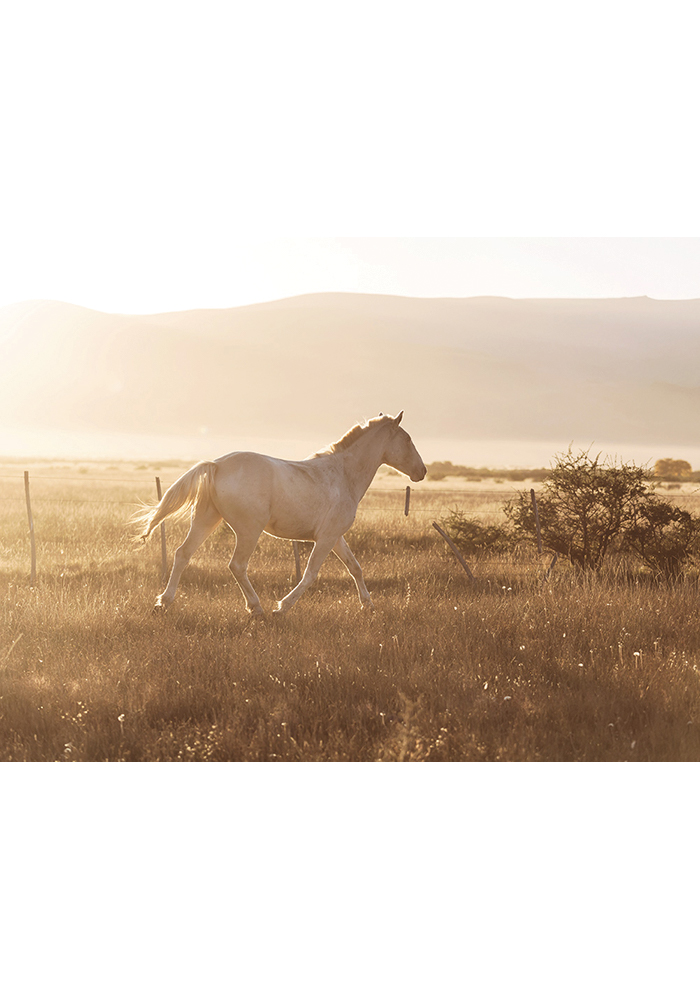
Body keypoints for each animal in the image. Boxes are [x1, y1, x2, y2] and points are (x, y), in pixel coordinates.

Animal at [133, 410, 424, 612]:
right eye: (408, 439)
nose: (422, 471)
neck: (343, 475)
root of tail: (216, 465)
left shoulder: (335, 537)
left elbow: (355, 567)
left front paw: (368, 605)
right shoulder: (326, 539)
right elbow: (310, 574)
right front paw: (282, 607)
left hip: (206, 520)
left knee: (183, 554)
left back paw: (164, 602)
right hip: (249, 530)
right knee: (237, 565)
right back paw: (256, 608)